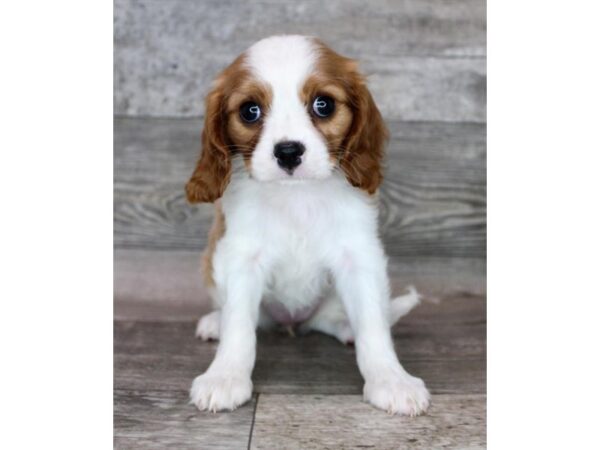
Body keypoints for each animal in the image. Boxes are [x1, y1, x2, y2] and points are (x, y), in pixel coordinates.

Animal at [185, 34, 428, 414]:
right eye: (250, 111)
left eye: (323, 105)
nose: (288, 152)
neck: (296, 196)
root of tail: (294, 323)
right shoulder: (241, 258)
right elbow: (239, 325)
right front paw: (224, 377)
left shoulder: (359, 258)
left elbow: (374, 325)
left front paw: (391, 379)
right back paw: (216, 322)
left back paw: (345, 327)